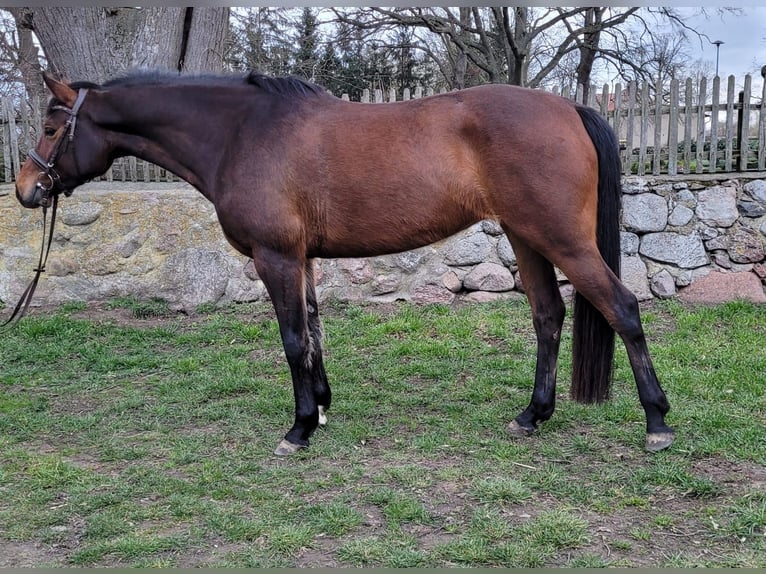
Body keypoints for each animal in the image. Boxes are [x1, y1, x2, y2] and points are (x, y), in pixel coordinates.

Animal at [15, 71, 676, 454]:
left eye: (50, 125)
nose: (26, 189)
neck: (242, 133)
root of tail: (567, 108)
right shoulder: (301, 258)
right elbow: (312, 330)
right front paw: (324, 406)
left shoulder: (275, 257)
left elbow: (290, 338)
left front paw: (300, 427)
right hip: (526, 236)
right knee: (547, 315)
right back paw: (533, 415)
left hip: (563, 239)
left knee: (622, 308)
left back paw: (657, 423)